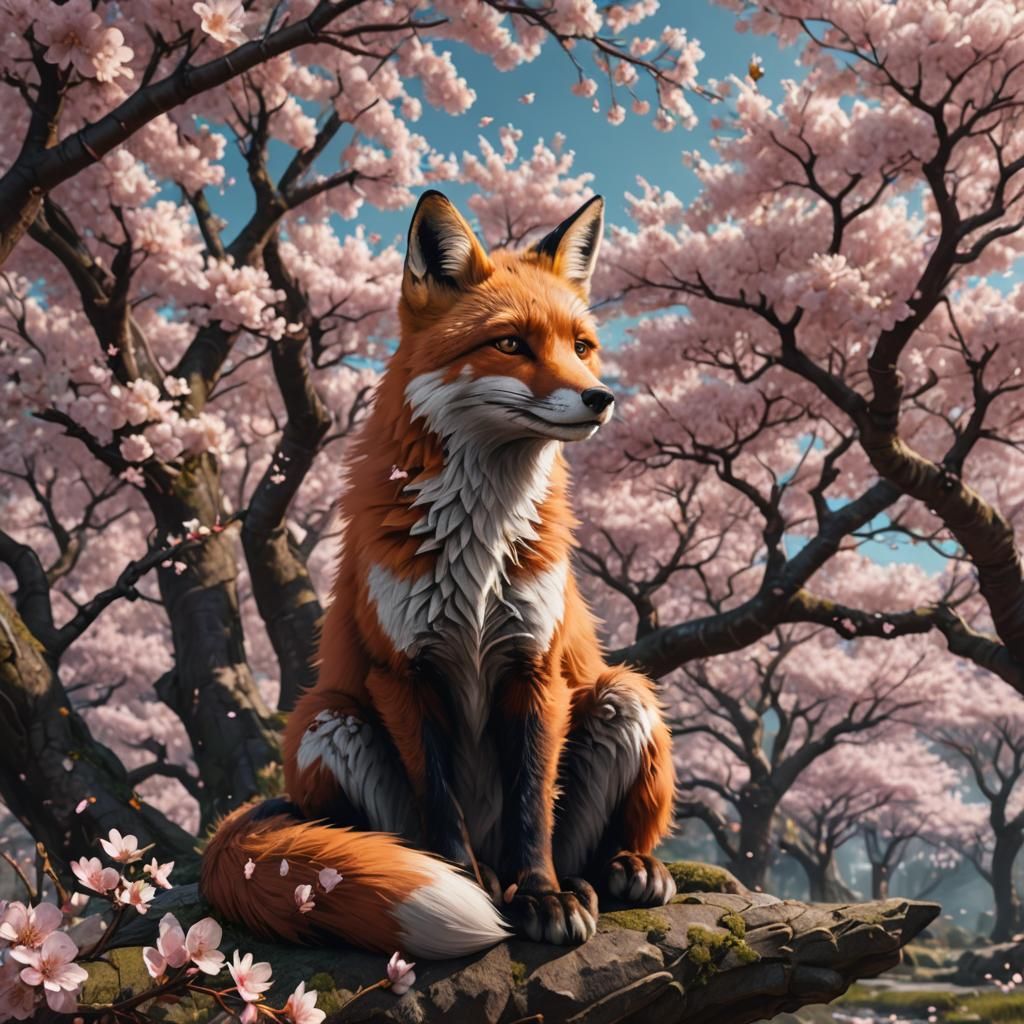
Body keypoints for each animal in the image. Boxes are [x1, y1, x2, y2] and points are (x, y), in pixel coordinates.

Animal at [201, 190, 676, 959]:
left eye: (581, 346)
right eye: (511, 344)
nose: (601, 397)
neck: (477, 546)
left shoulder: (535, 667)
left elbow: (531, 808)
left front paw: (541, 895)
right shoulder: (404, 672)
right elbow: (441, 804)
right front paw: (472, 889)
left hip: (622, 693)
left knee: (594, 838)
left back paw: (622, 868)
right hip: (328, 718)